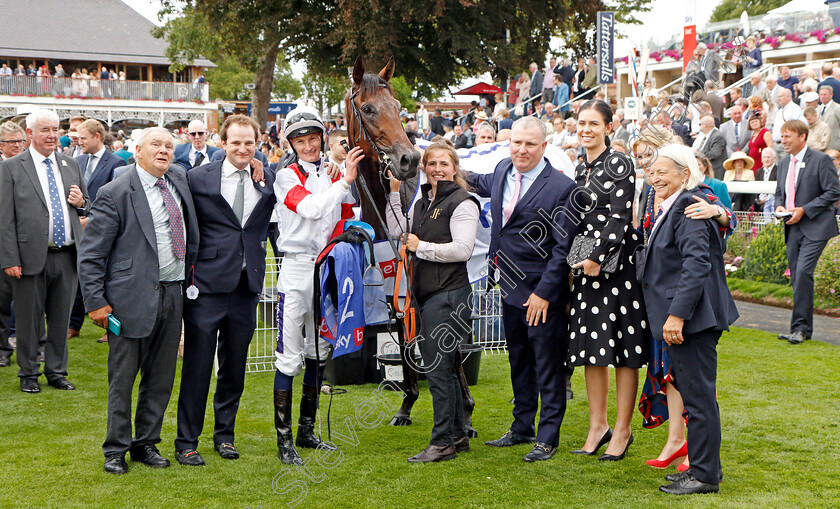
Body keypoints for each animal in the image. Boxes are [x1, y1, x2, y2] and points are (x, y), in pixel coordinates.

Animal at [346, 57, 480, 434]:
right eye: (368, 108)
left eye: (397, 106)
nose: (408, 160)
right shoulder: (395, 293)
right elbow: (406, 340)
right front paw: (407, 404)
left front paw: (465, 411)